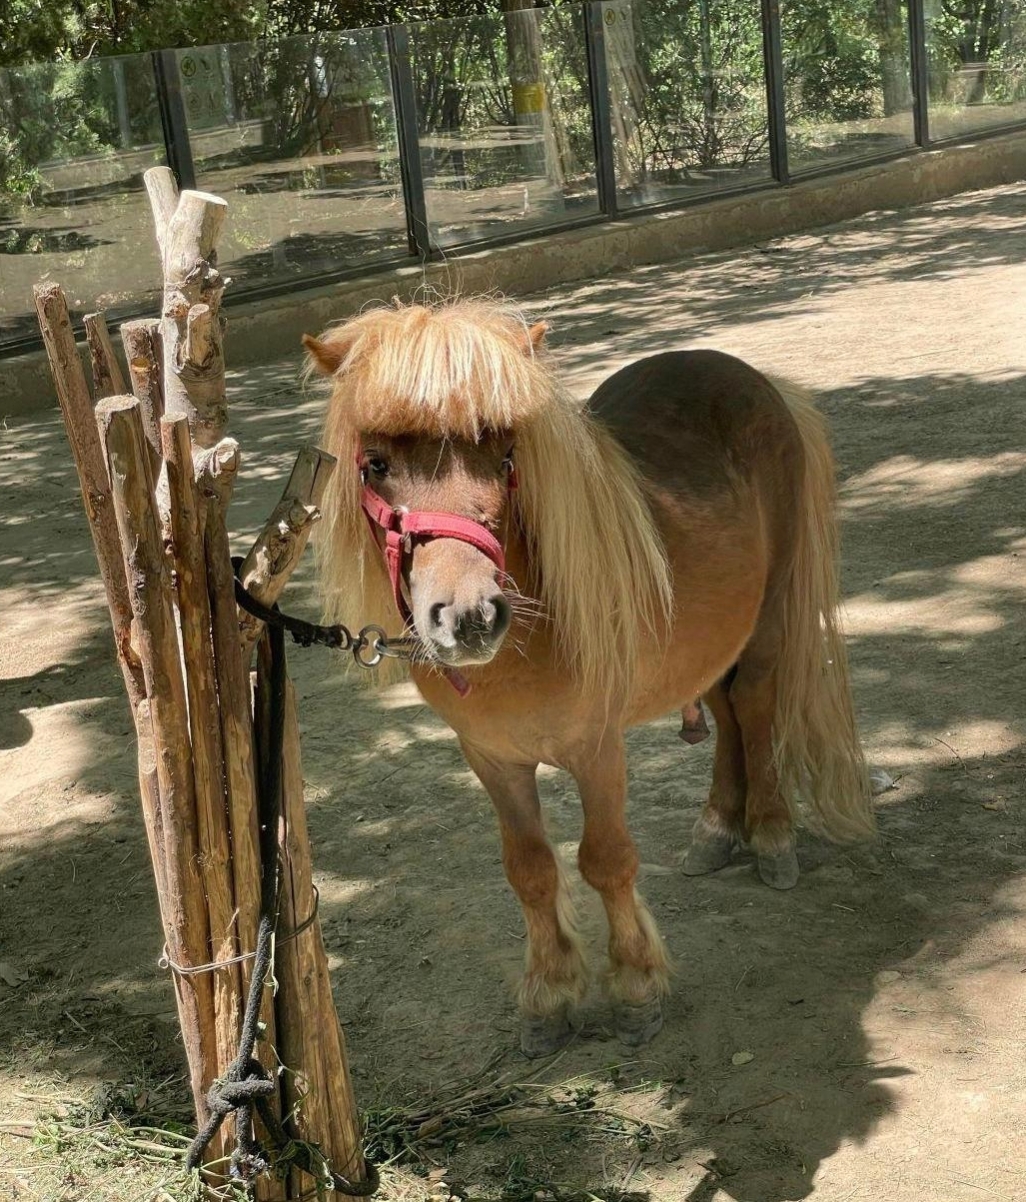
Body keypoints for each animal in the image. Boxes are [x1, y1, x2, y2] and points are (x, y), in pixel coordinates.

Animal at [304, 298, 874, 1057]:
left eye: (506, 457)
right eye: (374, 464)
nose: (470, 616)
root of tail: (757, 381)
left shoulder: (597, 750)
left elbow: (606, 860)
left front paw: (635, 990)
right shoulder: (492, 759)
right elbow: (530, 870)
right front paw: (548, 999)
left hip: (770, 619)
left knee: (754, 707)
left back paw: (773, 836)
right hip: (711, 638)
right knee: (725, 715)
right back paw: (717, 830)